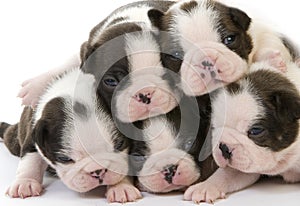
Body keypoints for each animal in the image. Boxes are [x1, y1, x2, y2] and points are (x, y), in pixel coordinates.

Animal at [0, 68, 141, 203]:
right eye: (64, 159)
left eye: (120, 144)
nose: (98, 170)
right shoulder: (33, 130)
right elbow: (30, 159)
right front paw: (25, 183)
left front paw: (121, 187)